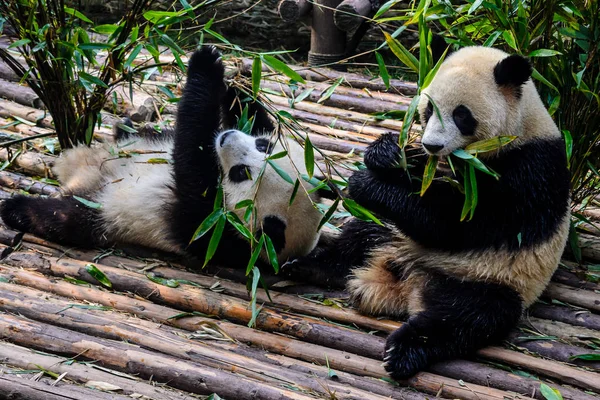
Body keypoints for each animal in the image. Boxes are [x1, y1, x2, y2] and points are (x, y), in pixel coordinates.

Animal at [0, 46, 326, 266]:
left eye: (240, 173)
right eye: (263, 146)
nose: (228, 137)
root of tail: (76, 173)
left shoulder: (209, 228)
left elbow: (191, 161)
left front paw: (205, 65)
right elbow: (254, 116)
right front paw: (240, 77)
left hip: (105, 212)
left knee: (63, 218)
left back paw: (16, 208)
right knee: (136, 135)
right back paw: (125, 126)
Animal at [296, 46, 572, 378]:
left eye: (461, 115)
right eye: (428, 110)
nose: (432, 144)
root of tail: (409, 282)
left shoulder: (529, 171)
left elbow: (456, 225)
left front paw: (366, 184)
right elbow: (419, 180)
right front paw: (388, 152)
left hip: (490, 279)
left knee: (467, 316)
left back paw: (404, 351)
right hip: (392, 236)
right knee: (359, 236)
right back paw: (308, 265)